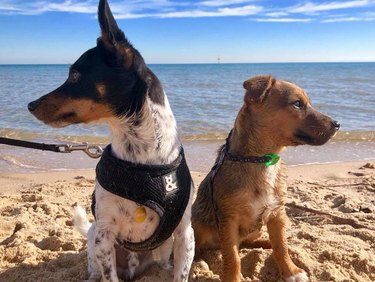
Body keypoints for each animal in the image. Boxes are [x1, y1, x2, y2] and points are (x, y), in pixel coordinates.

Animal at [27, 1, 195, 280]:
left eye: (75, 76)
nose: (30, 105)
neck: (142, 160)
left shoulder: (185, 233)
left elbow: (181, 273)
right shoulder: (104, 235)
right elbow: (110, 275)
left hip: (164, 247)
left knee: (162, 262)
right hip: (94, 239)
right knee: (96, 268)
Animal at [192, 75, 340, 282]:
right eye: (297, 104)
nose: (337, 124)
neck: (262, 160)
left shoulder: (277, 214)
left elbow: (281, 246)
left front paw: (291, 271)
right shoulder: (229, 221)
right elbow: (232, 257)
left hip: (257, 228)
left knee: (248, 243)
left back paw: (267, 244)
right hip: (197, 224)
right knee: (198, 246)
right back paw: (198, 261)